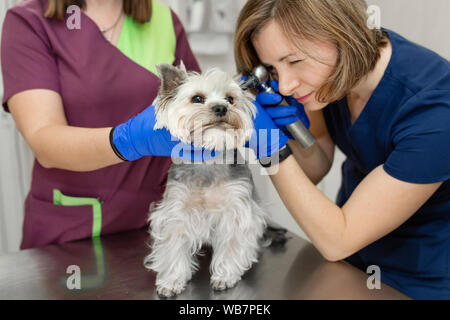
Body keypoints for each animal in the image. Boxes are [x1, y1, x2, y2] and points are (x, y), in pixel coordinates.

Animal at [145, 63, 268, 298]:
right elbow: (173, 246)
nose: (221, 108)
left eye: (230, 99)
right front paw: (171, 281)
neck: (208, 161)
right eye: (197, 98)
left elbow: (232, 243)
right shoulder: (177, 211)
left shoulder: (235, 209)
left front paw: (225, 276)